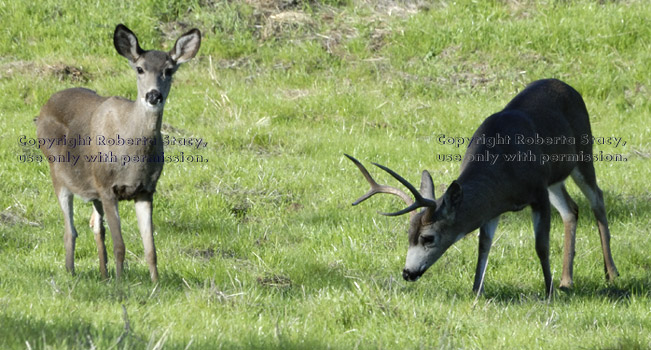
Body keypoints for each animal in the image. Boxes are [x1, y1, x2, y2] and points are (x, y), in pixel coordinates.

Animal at [35, 23, 201, 282]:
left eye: (169, 70)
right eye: (140, 69)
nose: (153, 95)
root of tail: (44, 107)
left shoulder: (146, 191)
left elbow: (150, 248)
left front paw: (155, 283)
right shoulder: (107, 187)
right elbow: (120, 245)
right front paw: (121, 283)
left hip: (92, 189)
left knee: (95, 225)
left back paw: (103, 275)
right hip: (58, 172)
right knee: (70, 229)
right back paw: (71, 272)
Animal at [344, 78, 620, 296]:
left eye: (427, 238)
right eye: (408, 235)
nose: (407, 273)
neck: (504, 173)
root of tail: (568, 86)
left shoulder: (538, 191)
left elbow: (541, 245)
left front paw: (548, 291)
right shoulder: (493, 207)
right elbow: (484, 245)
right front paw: (476, 290)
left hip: (583, 154)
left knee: (597, 198)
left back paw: (611, 273)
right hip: (556, 177)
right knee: (571, 210)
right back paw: (566, 281)